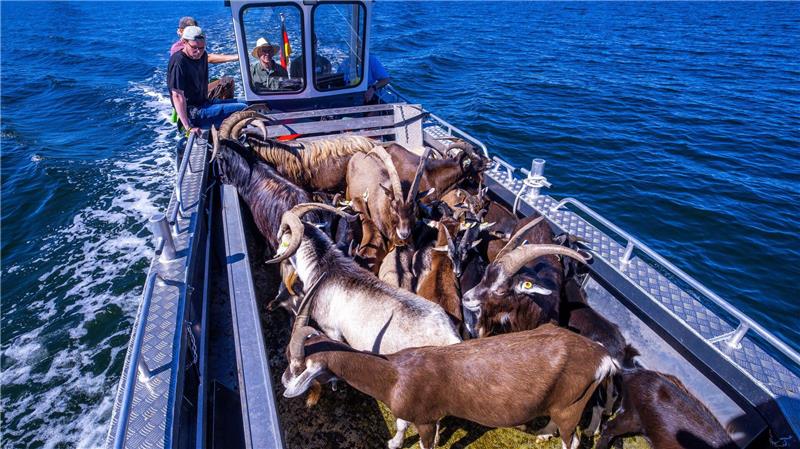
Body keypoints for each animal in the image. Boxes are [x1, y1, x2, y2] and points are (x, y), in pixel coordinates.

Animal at [285, 315, 619, 449]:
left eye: (297, 364)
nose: (285, 381)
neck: (395, 375)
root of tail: (603, 356)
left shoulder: (426, 419)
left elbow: (425, 442)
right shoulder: (412, 410)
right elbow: (401, 423)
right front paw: (393, 442)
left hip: (572, 404)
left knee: (572, 440)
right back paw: (543, 433)